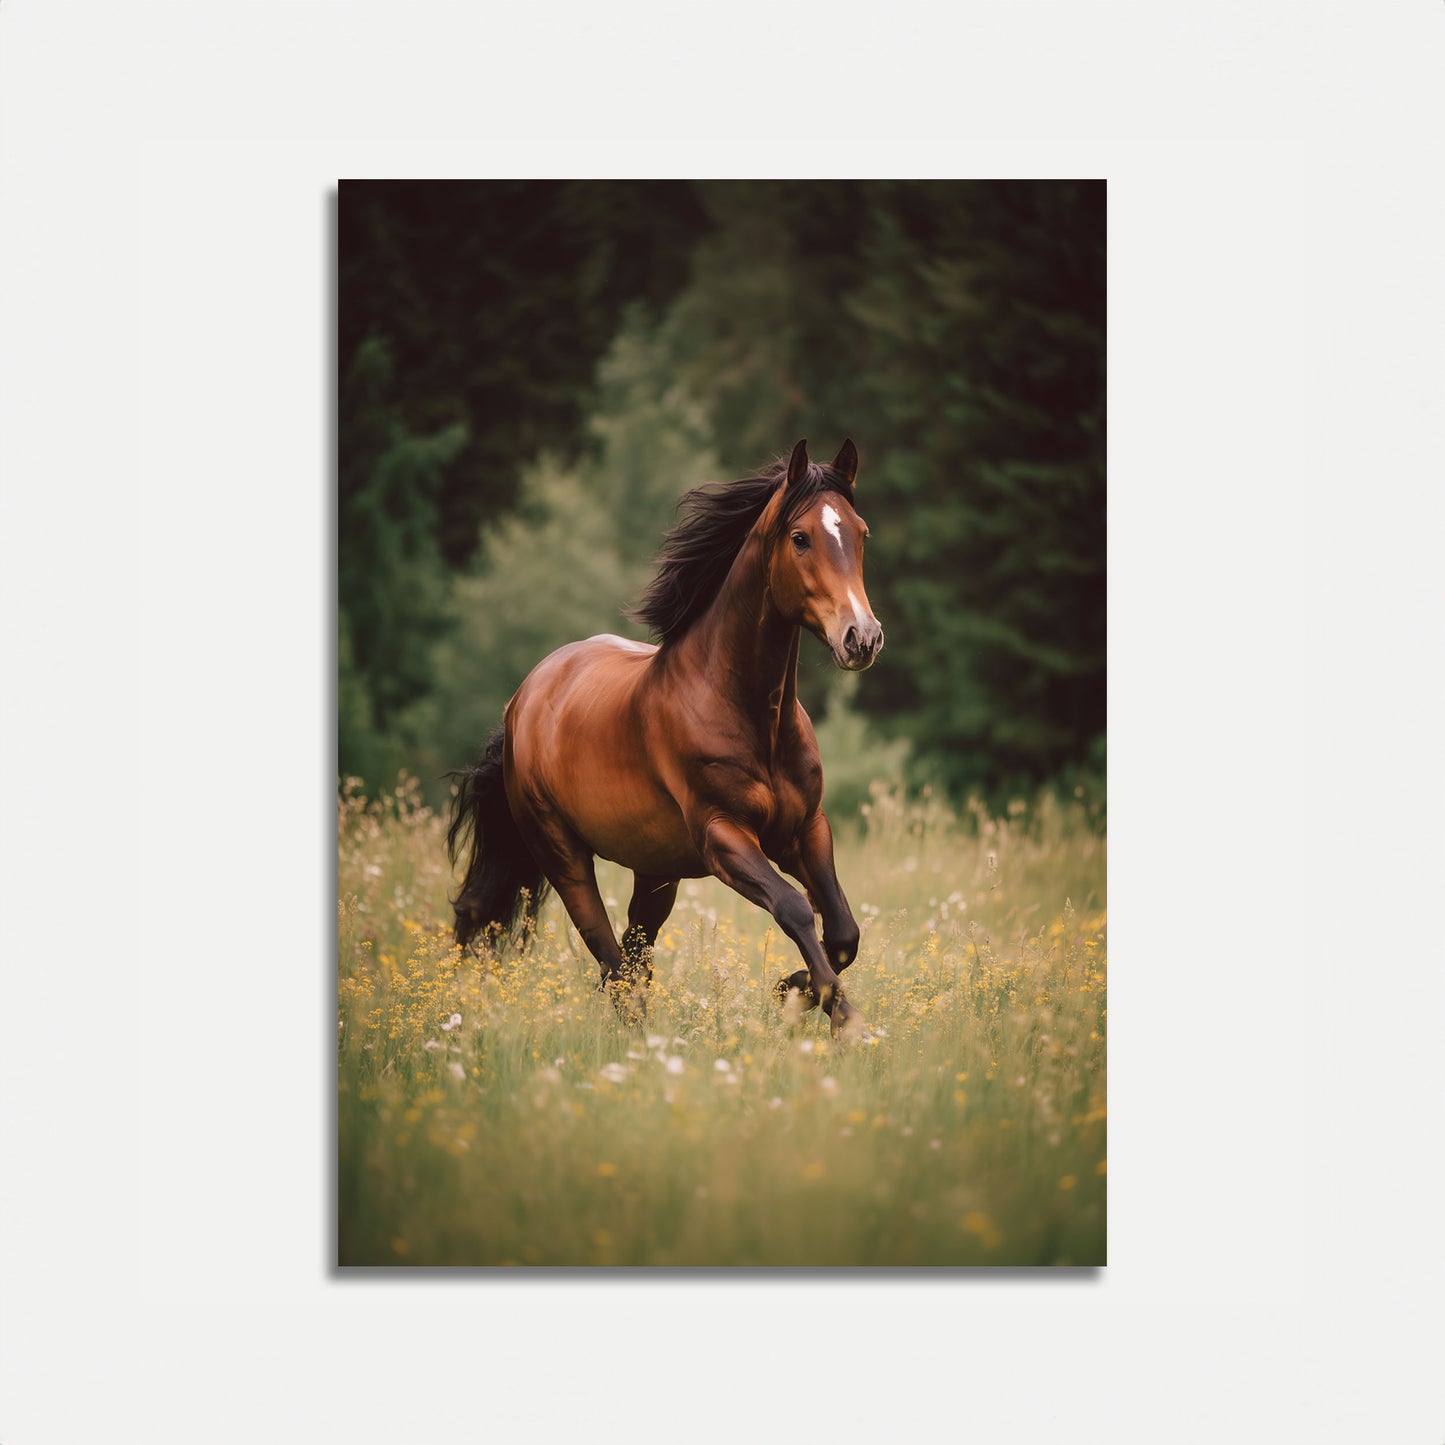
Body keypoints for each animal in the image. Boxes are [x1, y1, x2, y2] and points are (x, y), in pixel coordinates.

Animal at [446, 438, 885, 1040]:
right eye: (801, 538)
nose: (861, 638)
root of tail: (522, 700)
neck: (752, 718)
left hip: (656, 874)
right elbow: (795, 908)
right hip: (563, 854)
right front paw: (839, 1015)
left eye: (861, 533)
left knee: (632, 960)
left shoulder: (805, 830)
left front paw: (793, 991)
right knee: (610, 962)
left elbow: (842, 930)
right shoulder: (723, 836)